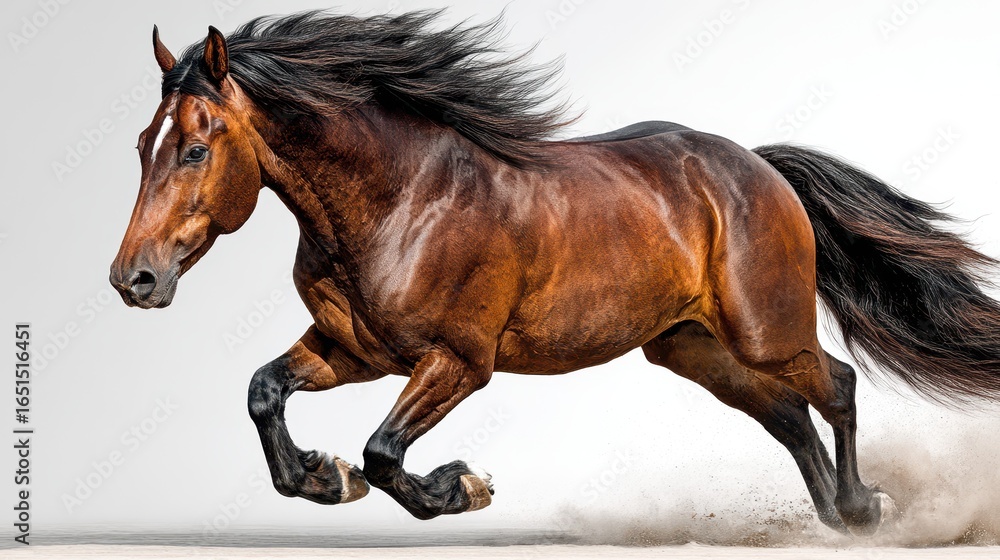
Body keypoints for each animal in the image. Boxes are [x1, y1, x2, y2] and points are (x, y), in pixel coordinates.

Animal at [109, 11, 1000, 535]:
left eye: (195, 149)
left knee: (836, 385)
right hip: (689, 346)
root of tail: (758, 167)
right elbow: (265, 392)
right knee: (785, 414)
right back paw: (837, 517)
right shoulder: (355, 350)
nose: (133, 281)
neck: (401, 200)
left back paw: (863, 508)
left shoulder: (459, 362)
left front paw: (462, 486)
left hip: (764, 331)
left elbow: (385, 453)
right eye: (143, 143)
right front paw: (322, 480)